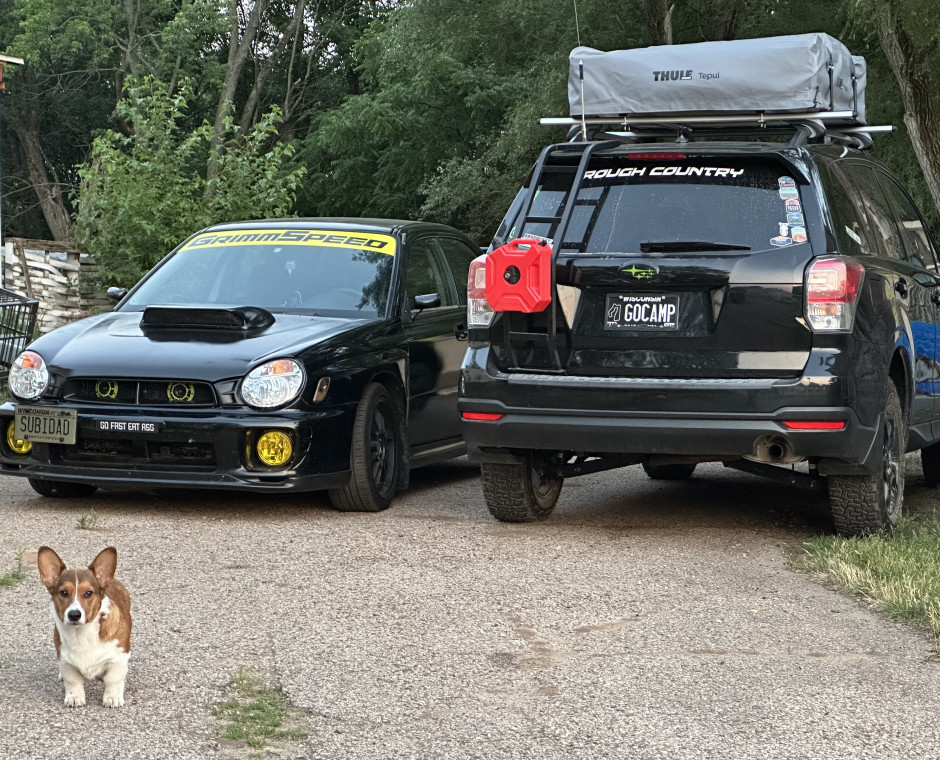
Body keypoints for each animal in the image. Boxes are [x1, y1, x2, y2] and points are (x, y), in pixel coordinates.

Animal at [37, 548, 132, 708]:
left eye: (88, 593)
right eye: (63, 592)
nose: (74, 614)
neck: (81, 633)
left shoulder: (118, 658)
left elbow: (113, 679)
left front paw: (112, 698)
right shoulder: (66, 661)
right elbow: (73, 681)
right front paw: (74, 697)